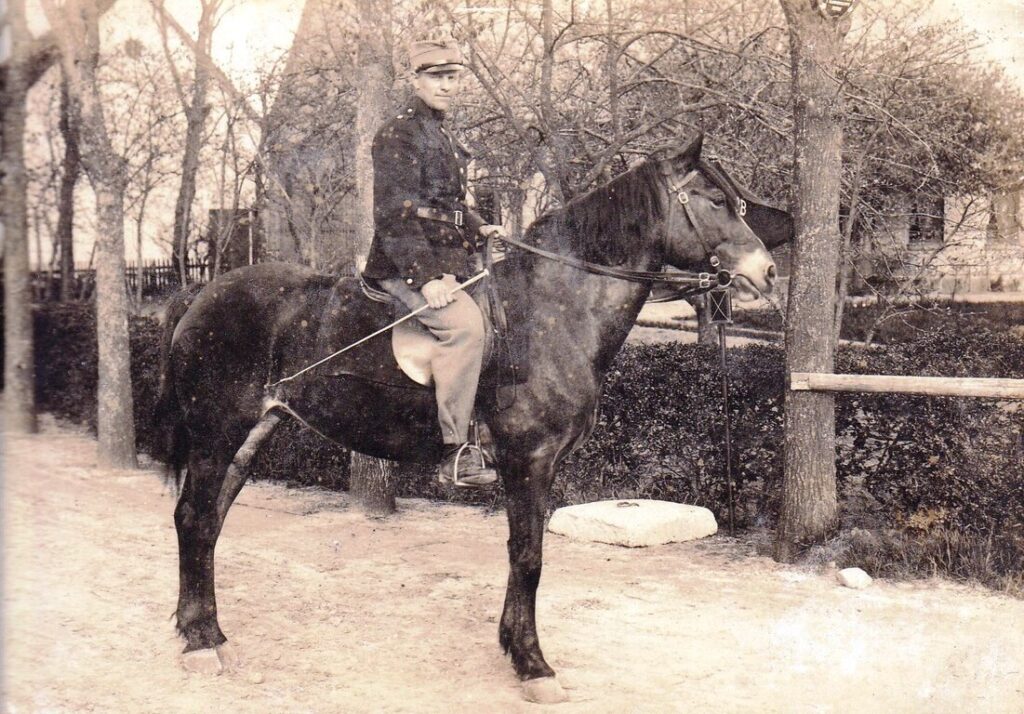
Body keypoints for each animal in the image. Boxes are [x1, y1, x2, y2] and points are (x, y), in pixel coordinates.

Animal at [157, 135, 782, 700]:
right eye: (715, 200)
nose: (769, 272)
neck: (552, 310)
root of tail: (199, 296)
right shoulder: (529, 461)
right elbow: (528, 557)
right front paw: (533, 665)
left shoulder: (540, 467)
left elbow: (522, 554)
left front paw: (513, 647)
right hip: (216, 434)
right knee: (193, 517)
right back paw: (201, 644)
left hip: (253, 435)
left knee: (207, 523)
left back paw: (203, 630)